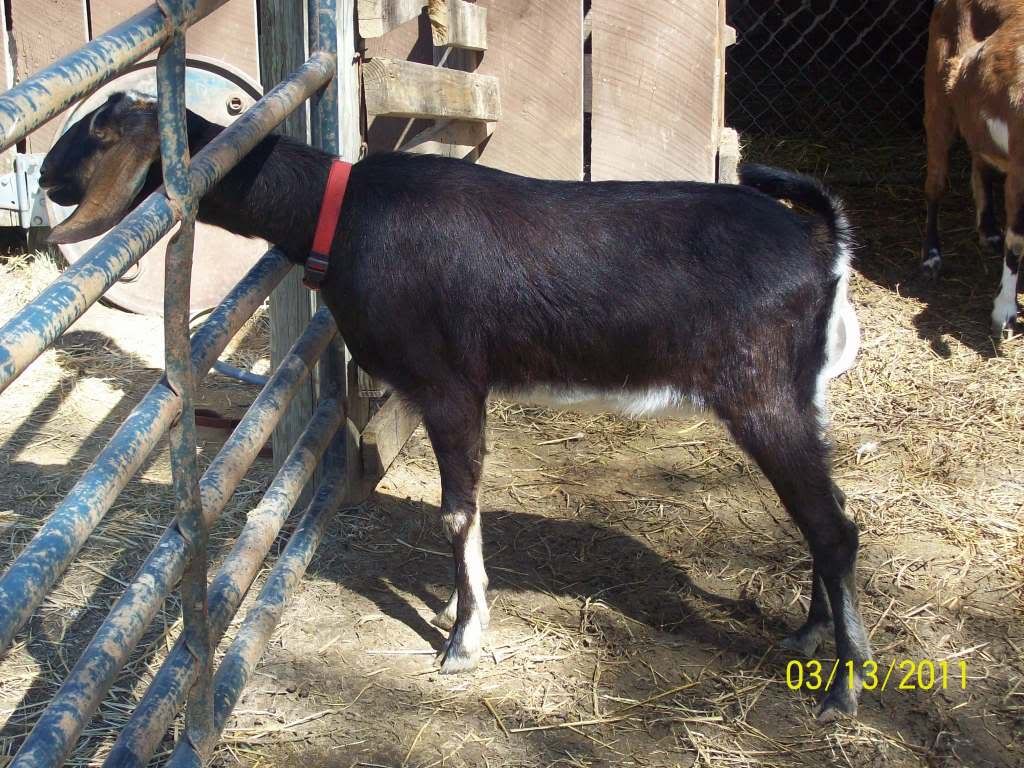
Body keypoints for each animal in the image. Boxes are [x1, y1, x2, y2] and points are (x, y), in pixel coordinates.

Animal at [39, 91, 868, 721]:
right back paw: (808, 635)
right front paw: (450, 611)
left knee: (834, 528)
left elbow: (456, 514)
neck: (339, 214)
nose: (43, 174)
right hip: (803, 395)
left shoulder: (450, 385)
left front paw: (463, 639)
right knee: (826, 515)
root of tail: (823, 242)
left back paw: (844, 686)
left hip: (762, 394)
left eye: (100, 132)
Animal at [923, 0, 1023, 335]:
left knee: (980, 157)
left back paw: (989, 230)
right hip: (937, 95)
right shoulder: (1020, 170)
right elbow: (1016, 242)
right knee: (935, 182)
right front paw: (1004, 313)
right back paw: (931, 257)